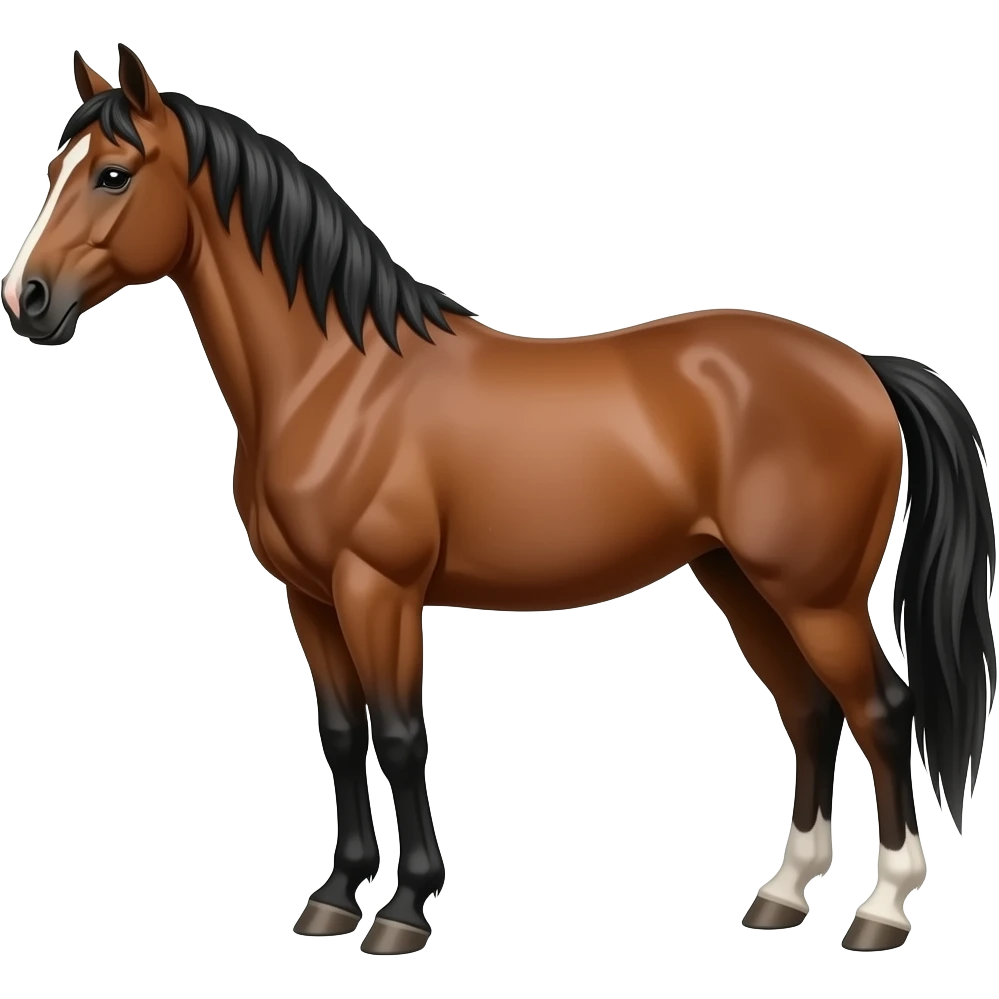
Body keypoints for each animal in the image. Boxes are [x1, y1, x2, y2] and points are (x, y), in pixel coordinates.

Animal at [3, 45, 995, 957]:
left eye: (113, 173)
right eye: (54, 170)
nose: (28, 300)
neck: (335, 381)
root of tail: (862, 367)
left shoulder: (378, 590)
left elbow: (400, 733)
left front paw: (402, 910)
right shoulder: (310, 595)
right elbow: (340, 731)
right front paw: (334, 896)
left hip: (815, 595)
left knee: (881, 711)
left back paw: (880, 909)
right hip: (740, 581)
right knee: (809, 711)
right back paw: (782, 895)